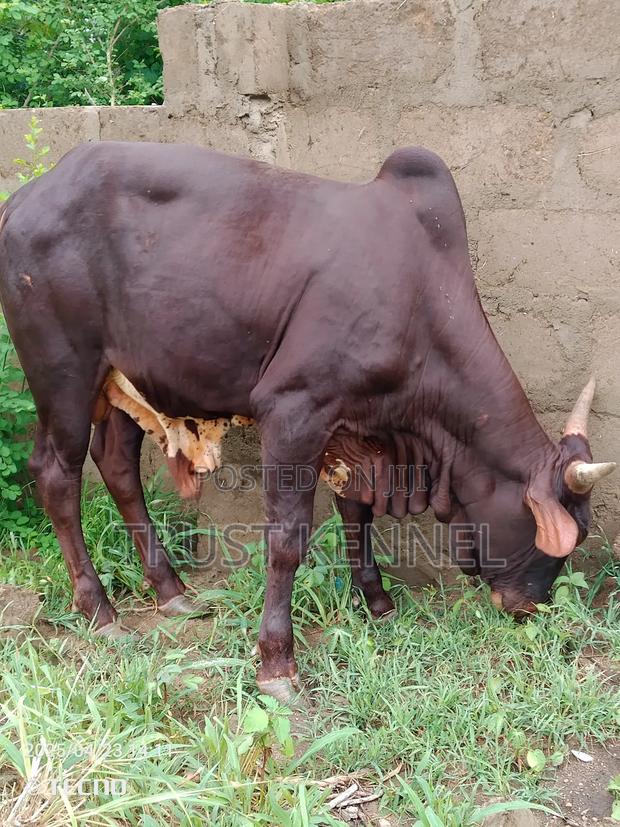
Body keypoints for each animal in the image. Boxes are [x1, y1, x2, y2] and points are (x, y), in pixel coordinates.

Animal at [0, 142, 615, 705]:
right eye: (562, 538)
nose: (528, 607)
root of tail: (26, 197)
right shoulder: (294, 410)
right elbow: (287, 540)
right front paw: (277, 662)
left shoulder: (355, 431)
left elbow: (356, 517)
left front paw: (377, 603)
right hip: (64, 375)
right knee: (56, 476)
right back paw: (99, 609)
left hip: (127, 380)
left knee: (117, 466)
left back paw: (170, 589)